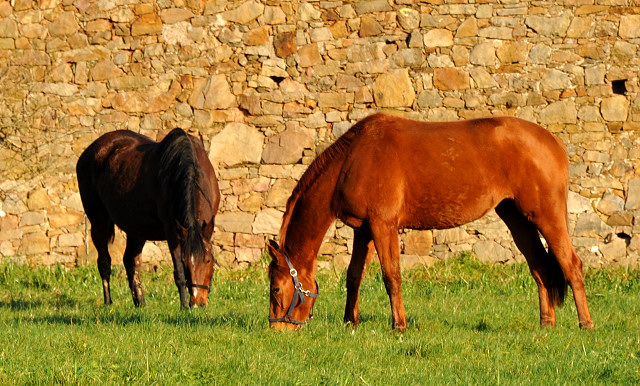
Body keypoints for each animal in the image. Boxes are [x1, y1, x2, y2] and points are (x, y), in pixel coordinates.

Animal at [77, 128, 220, 310]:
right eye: (185, 261)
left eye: (208, 261)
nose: (197, 302)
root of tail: (90, 151)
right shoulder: (172, 231)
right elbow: (179, 273)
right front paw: (183, 306)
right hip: (98, 221)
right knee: (104, 262)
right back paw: (108, 302)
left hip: (137, 229)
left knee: (131, 261)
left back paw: (140, 303)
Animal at [266, 113, 596, 330]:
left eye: (275, 289)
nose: (277, 328)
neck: (353, 159)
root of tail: (553, 142)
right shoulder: (364, 230)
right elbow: (353, 276)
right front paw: (351, 322)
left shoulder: (383, 225)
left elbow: (391, 277)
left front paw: (399, 325)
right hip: (517, 218)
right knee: (540, 267)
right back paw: (546, 324)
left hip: (546, 215)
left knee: (571, 263)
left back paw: (585, 323)